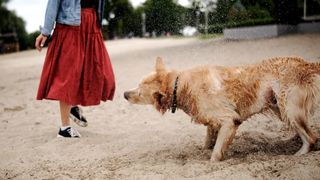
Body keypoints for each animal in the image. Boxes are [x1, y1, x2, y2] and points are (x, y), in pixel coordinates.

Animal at [124, 57, 318, 161]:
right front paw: (204, 149)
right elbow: (209, 140)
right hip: (280, 106)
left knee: (312, 138)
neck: (180, 85)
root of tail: (306, 64)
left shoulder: (230, 120)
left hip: (289, 108)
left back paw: (299, 153)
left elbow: (216, 153)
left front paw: (212, 159)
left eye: (139, 92)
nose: (125, 94)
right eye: (137, 84)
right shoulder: (212, 121)